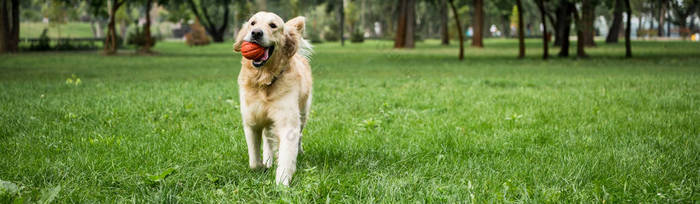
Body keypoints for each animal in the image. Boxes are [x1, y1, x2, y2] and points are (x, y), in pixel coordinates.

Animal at [232, 11, 312, 186]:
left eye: (273, 25)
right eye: (252, 23)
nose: (256, 33)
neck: (264, 81)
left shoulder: (288, 122)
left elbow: (287, 154)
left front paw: (282, 183)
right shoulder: (251, 122)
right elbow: (253, 162)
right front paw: (262, 166)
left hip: (303, 112)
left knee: (299, 135)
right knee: (267, 139)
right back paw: (268, 160)